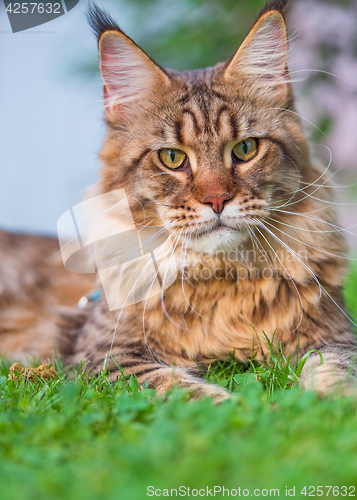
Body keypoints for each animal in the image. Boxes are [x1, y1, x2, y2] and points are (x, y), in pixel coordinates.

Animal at [1, 0, 354, 398]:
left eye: (245, 149)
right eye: (172, 157)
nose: (217, 200)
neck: (222, 282)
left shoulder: (334, 336)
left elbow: (333, 370)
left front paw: (333, 403)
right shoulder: (107, 359)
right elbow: (185, 390)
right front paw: (243, 405)